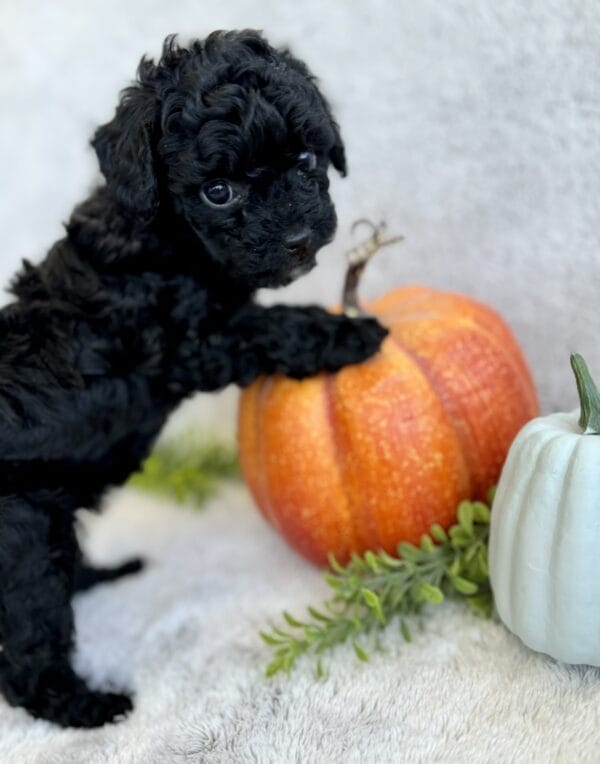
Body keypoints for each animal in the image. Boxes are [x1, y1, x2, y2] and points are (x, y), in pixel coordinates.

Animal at [0, 31, 384, 728]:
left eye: (307, 156)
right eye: (218, 192)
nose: (298, 238)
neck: (164, 236)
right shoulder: (187, 344)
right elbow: (267, 327)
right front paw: (348, 334)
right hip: (24, 537)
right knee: (28, 654)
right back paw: (87, 705)